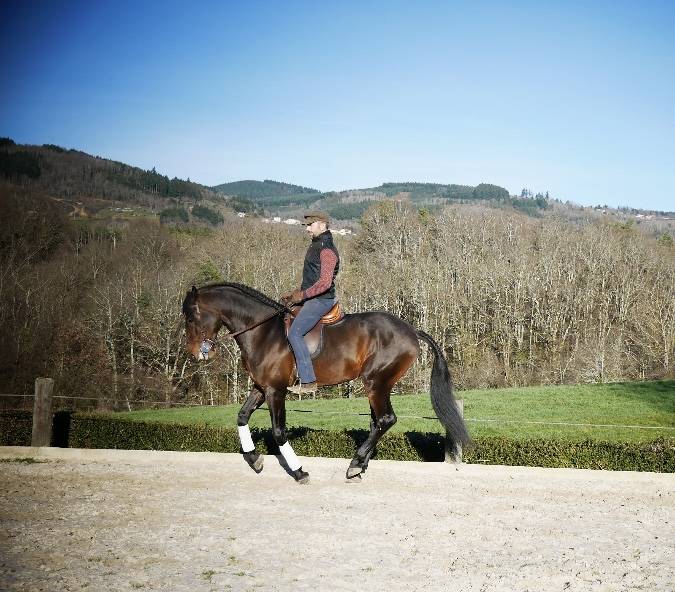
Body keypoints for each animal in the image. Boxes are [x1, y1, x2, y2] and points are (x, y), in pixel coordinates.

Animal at [182, 282, 470, 483]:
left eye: (191, 317)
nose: (196, 353)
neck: (262, 332)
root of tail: (410, 330)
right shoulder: (261, 388)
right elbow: (242, 416)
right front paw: (254, 459)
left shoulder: (276, 391)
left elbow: (278, 432)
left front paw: (299, 472)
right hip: (377, 386)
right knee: (377, 421)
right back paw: (360, 465)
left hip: (376, 382)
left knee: (386, 419)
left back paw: (355, 464)